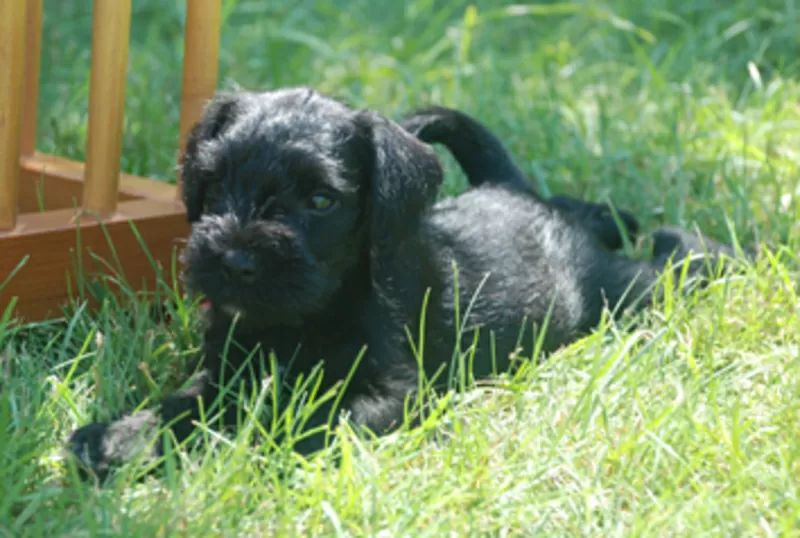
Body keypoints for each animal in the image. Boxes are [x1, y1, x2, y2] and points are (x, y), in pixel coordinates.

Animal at [67, 88, 736, 478]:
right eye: (215, 180)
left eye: (320, 199)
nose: (233, 260)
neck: (305, 317)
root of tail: (512, 190)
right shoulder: (225, 369)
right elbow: (183, 404)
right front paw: (121, 438)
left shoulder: (394, 394)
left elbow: (296, 424)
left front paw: (222, 453)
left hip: (623, 293)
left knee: (676, 262)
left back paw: (720, 251)